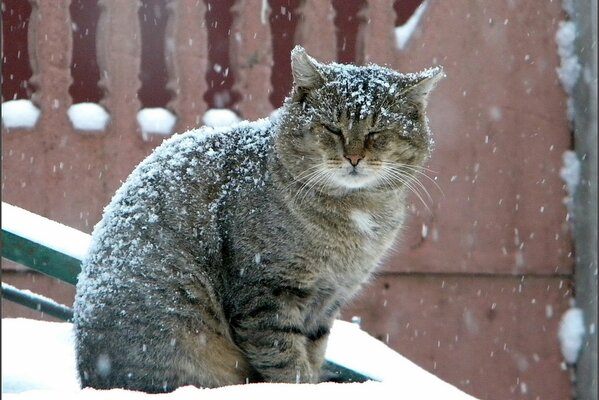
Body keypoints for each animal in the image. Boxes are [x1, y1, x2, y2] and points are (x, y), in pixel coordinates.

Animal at [72, 45, 442, 392]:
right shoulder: (267, 293)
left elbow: (313, 352)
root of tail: (90, 377)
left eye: (377, 132)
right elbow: (286, 360)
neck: (354, 212)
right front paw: (300, 386)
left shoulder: (328, 301)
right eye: (332, 129)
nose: (353, 157)